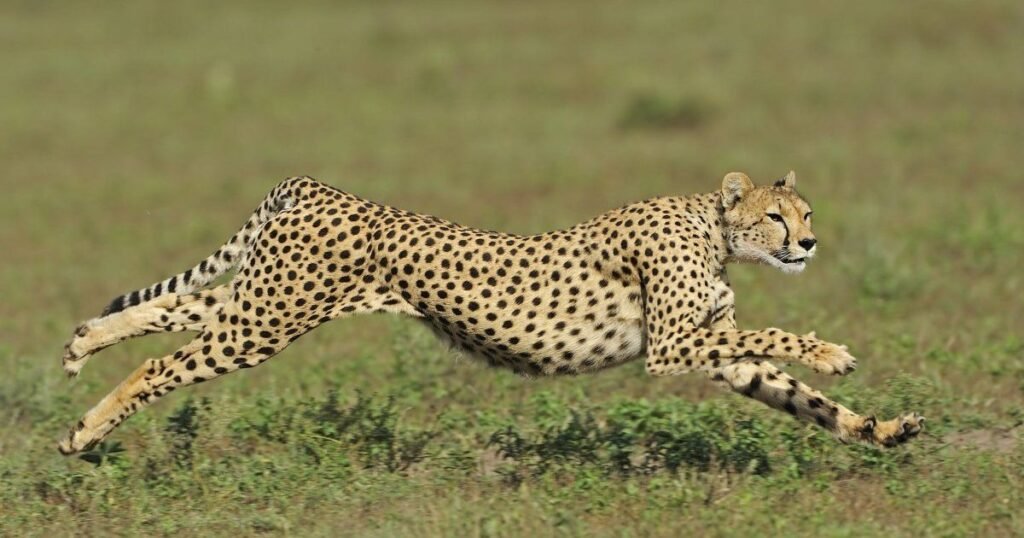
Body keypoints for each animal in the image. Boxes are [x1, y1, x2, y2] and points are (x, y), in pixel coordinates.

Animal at [58, 170, 924, 455]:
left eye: (805, 213)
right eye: (779, 217)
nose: (809, 242)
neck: (714, 229)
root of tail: (317, 186)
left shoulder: (713, 352)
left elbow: (799, 397)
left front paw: (883, 429)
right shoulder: (672, 347)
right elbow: (777, 338)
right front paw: (831, 351)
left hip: (262, 299)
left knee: (170, 309)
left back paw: (79, 348)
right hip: (267, 319)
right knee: (163, 362)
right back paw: (84, 434)